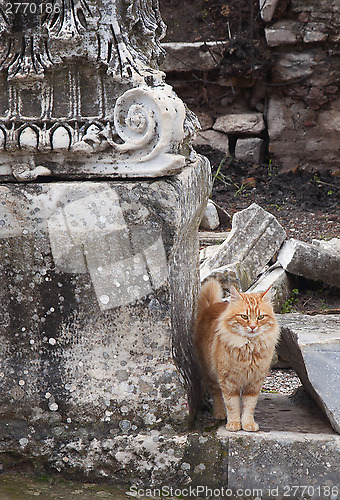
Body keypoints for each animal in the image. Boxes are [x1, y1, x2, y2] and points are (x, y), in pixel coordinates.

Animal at [194, 280, 278, 432]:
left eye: (260, 317)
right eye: (244, 317)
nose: (253, 327)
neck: (249, 349)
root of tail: (210, 306)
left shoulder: (254, 382)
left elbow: (249, 406)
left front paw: (248, 423)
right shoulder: (228, 381)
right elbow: (232, 404)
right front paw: (233, 423)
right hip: (210, 373)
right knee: (216, 393)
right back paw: (220, 413)